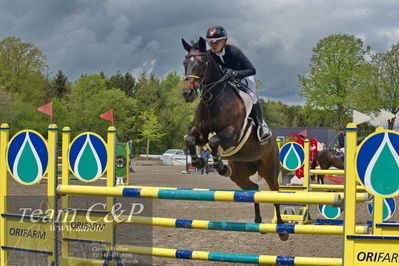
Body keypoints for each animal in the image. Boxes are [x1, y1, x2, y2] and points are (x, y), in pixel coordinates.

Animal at [181, 37, 288, 241]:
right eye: (185, 63)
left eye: (201, 63)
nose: (187, 93)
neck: (213, 99)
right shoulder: (199, 133)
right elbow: (190, 139)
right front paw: (199, 162)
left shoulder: (233, 135)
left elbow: (214, 141)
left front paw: (219, 165)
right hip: (240, 173)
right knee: (254, 189)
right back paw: (258, 221)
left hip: (269, 169)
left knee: (275, 193)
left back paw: (282, 229)